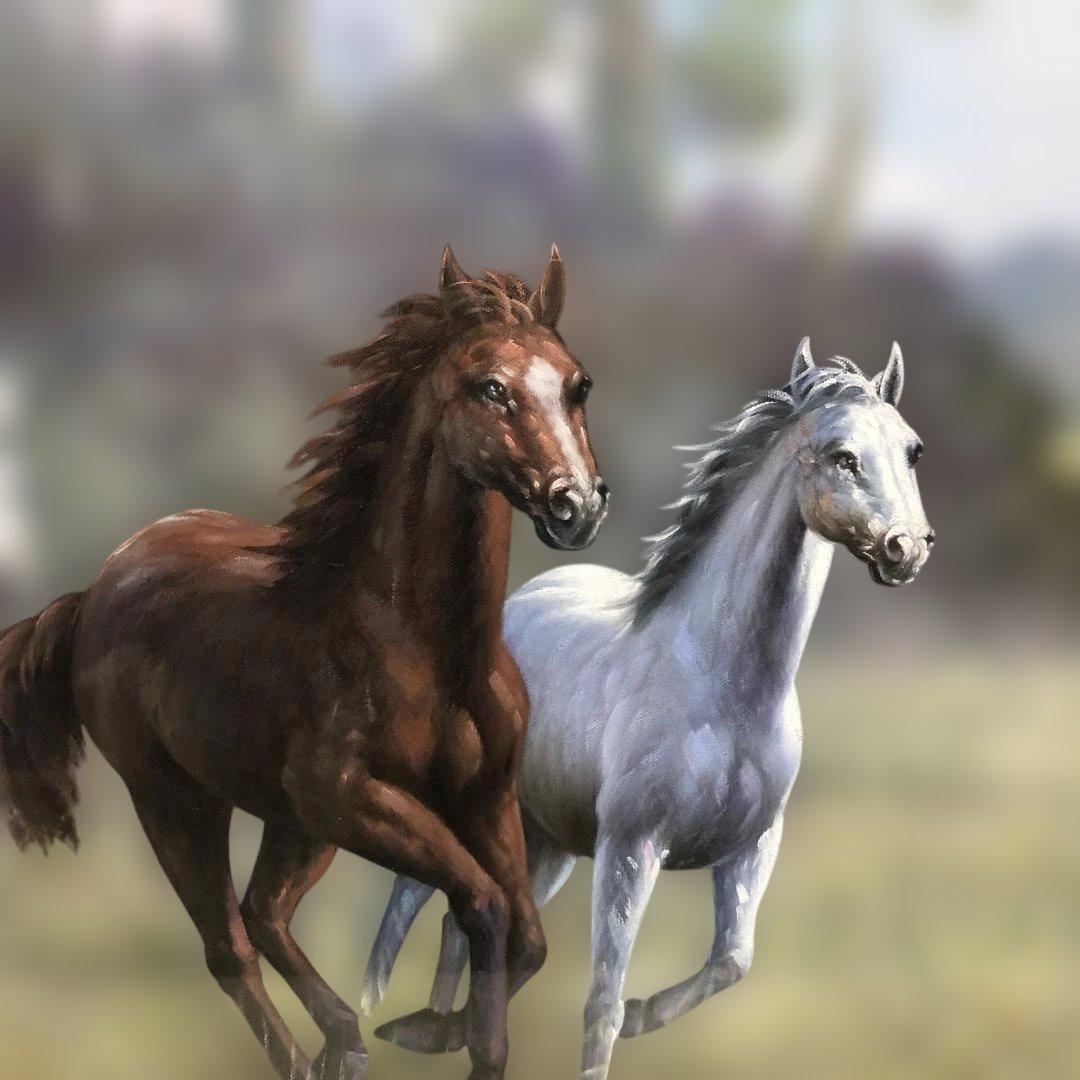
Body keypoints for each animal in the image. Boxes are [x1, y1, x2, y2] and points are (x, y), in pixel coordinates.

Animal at [0, 244, 609, 1080]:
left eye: (578, 384)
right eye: (490, 387)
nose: (576, 506)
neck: (429, 652)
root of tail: (95, 589)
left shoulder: (482, 799)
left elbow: (529, 941)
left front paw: (437, 1032)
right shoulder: (349, 799)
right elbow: (482, 906)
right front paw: (446, 1036)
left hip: (290, 822)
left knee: (264, 913)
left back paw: (345, 1041)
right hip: (177, 801)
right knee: (229, 946)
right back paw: (326, 1048)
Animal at [363, 339, 934, 1079]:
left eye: (912, 449)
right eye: (842, 455)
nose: (907, 549)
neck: (723, 688)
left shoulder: (750, 848)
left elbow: (731, 960)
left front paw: (643, 1015)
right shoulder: (631, 850)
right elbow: (601, 1004)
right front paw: (622, 1017)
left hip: (544, 844)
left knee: (469, 930)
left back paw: (438, 1028)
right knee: (402, 916)